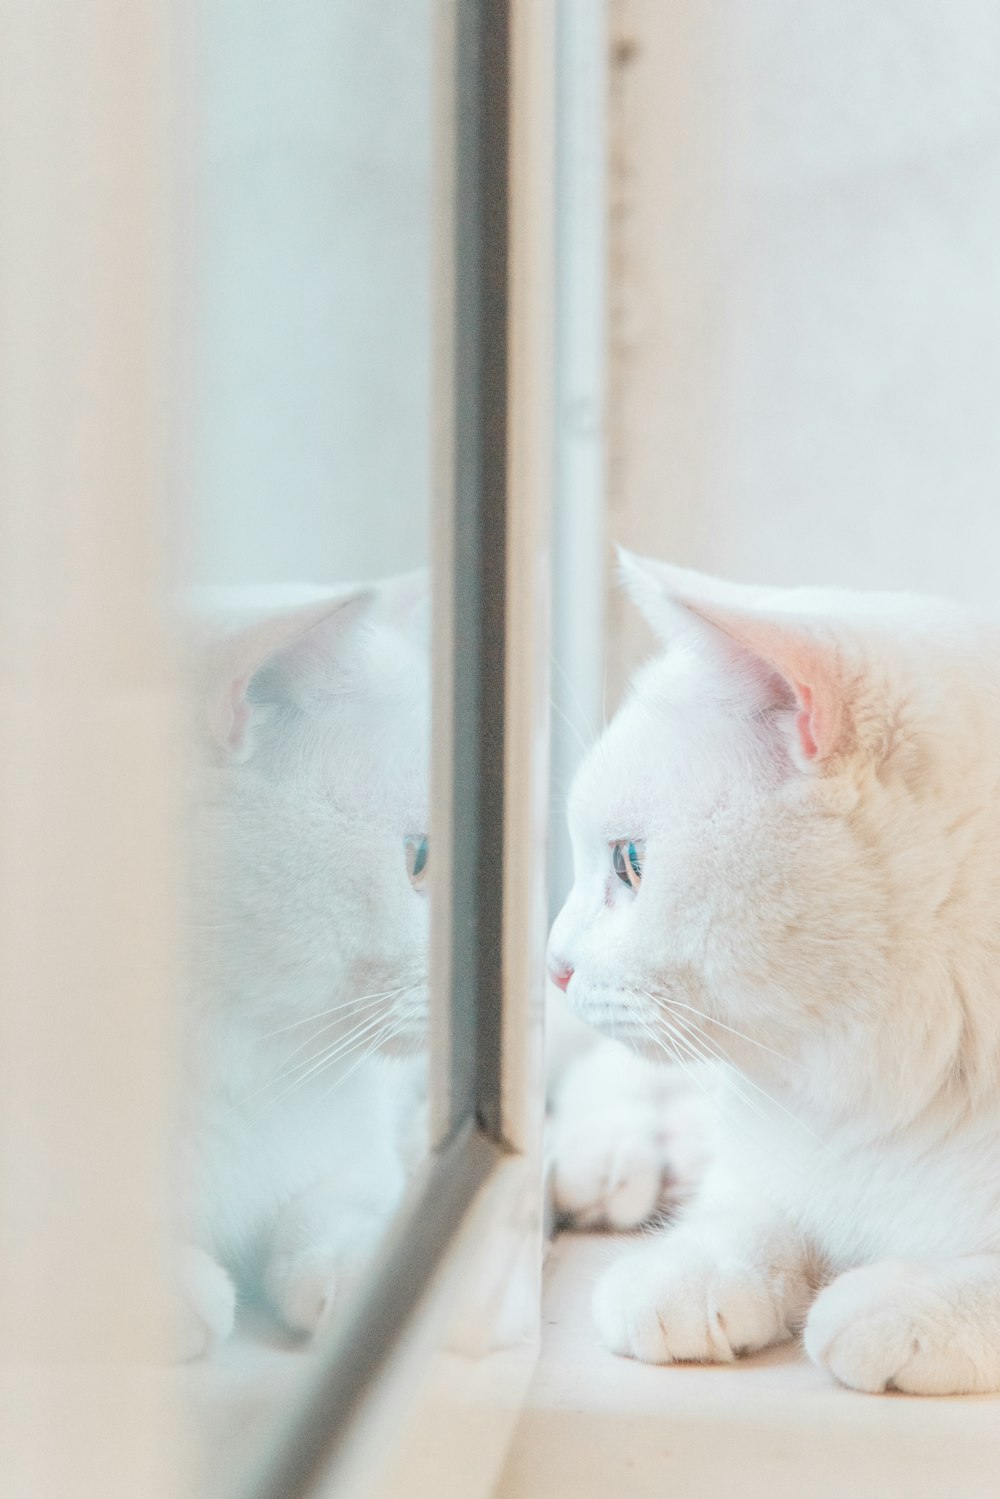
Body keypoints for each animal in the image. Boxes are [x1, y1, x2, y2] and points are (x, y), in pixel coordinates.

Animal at [551, 557, 1000, 1397]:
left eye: (630, 862)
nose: (554, 962)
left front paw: (908, 1301)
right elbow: (750, 1209)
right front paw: (690, 1267)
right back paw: (603, 1163)